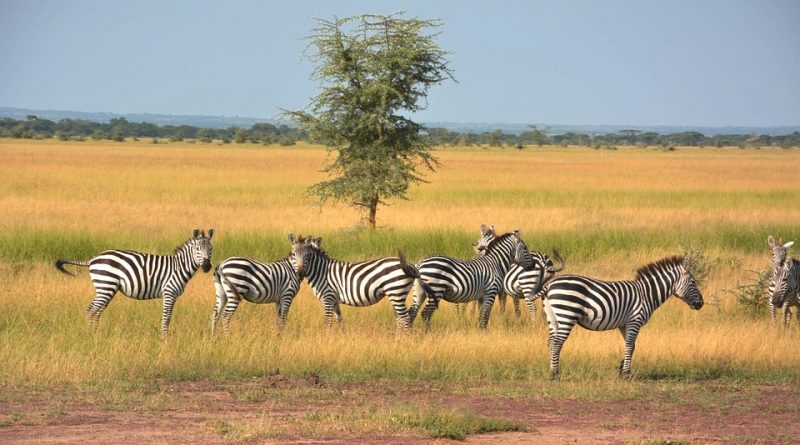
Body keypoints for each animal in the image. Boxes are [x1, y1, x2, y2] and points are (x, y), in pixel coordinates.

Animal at [54, 229, 214, 336]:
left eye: (211, 249)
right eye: (198, 248)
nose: (207, 266)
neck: (179, 267)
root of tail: (93, 259)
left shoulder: (171, 295)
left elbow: (167, 317)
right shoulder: (169, 293)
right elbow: (166, 317)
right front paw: (164, 338)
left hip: (106, 288)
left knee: (97, 311)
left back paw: (95, 334)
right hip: (105, 285)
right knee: (91, 310)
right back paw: (90, 336)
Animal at [290, 234, 424, 332]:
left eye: (307, 255)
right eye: (293, 254)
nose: (300, 273)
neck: (321, 271)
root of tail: (410, 264)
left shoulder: (327, 297)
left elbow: (328, 321)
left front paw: (326, 338)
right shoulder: (334, 299)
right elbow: (340, 319)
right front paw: (344, 336)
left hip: (396, 291)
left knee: (405, 318)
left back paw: (404, 341)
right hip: (396, 294)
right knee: (400, 318)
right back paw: (397, 339)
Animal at [540, 255, 704, 376]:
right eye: (693, 282)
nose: (701, 304)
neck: (647, 294)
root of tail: (550, 284)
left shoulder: (624, 324)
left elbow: (631, 346)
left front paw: (621, 369)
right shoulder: (635, 320)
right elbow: (630, 346)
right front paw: (626, 373)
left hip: (553, 318)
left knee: (550, 342)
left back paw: (552, 370)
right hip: (566, 314)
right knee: (557, 343)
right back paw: (555, 374)